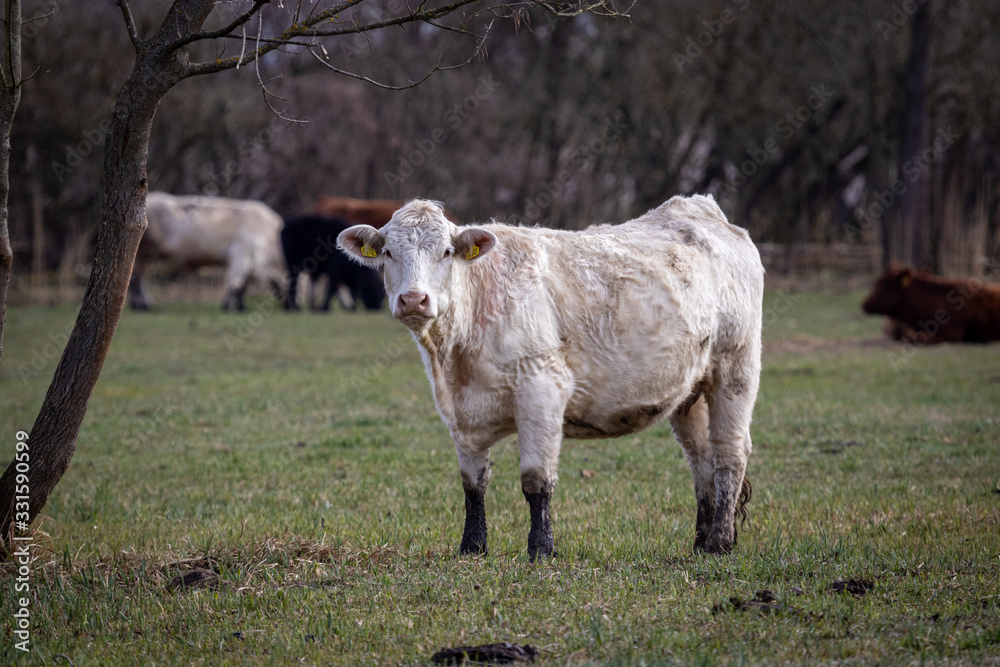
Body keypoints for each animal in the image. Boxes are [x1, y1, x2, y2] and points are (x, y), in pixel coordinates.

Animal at [130, 192, 285, 311]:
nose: (291, 308)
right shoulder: (240, 256)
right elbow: (234, 283)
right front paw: (227, 307)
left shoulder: (249, 264)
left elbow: (243, 287)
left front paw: (242, 307)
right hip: (143, 254)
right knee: (137, 279)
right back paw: (141, 306)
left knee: (141, 279)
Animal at [337, 196, 764, 559]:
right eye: (388, 253)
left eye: (445, 252)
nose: (413, 300)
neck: (456, 359)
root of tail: (699, 207)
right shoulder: (459, 413)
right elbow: (473, 483)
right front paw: (472, 548)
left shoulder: (540, 389)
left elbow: (535, 480)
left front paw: (541, 549)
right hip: (689, 391)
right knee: (701, 459)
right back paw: (701, 541)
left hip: (736, 367)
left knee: (730, 452)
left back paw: (720, 543)